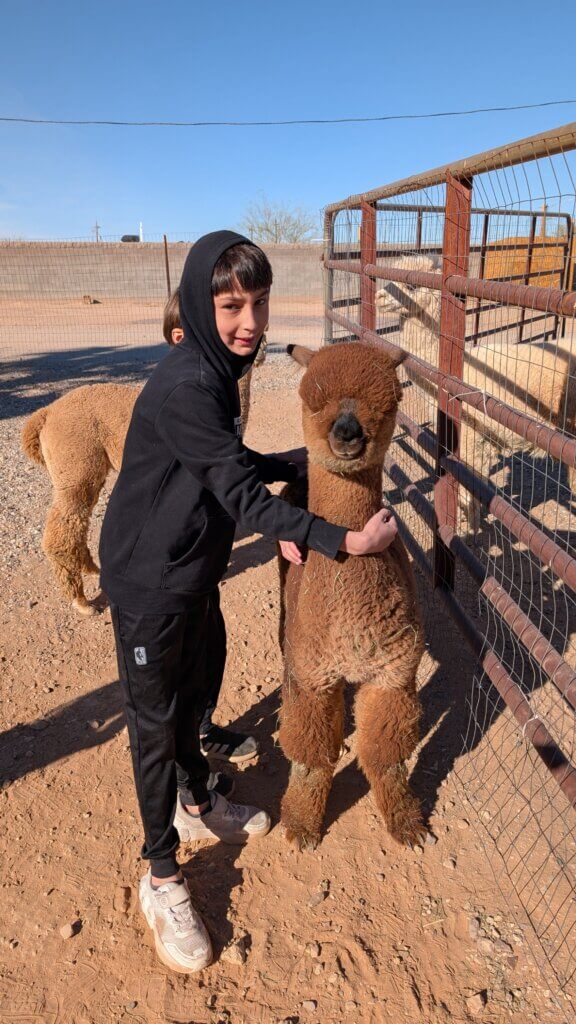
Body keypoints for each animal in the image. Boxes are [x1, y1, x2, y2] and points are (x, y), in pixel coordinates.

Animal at [22, 336, 267, 616]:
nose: (260, 353)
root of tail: (46, 414)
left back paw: (91, 569)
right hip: (76, 460)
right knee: (64, 524)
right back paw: (81, 601)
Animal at [278, 342, 426, 852]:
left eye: (389, 401)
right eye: (310, 400)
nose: (347, 433)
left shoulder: (394, 674)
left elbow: (386, 756)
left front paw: (406, 822)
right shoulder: (312, 674)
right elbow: (309, 756)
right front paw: (300, 824)